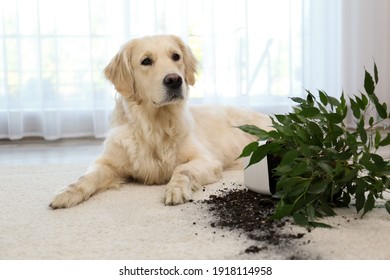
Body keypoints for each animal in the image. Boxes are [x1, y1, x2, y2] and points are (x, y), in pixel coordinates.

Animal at [49, 35, 272, 209]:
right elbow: (86, 177)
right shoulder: (108, 163)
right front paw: (67, 193)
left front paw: (175, 190)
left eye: (176, 56)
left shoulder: (206, 160)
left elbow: (181, 169)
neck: (156, 125)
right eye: (146, 61)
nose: (174, 80)